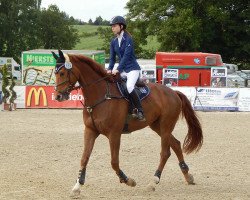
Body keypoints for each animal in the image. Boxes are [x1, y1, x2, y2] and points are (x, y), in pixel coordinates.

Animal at [51, 50, 202, 197]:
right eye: (55, 73)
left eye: (62, 73)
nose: (58, 96)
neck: (100, 95)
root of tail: (174, 92)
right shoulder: (90, 131)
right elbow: (84, 158)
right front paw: (77, 187)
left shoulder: (114, 134)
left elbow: (114, 162)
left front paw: (128, 180)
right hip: (157, 126)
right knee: (176, 144)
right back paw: (188, 176)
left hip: (165, 126)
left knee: (165, 153)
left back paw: (154, 181)